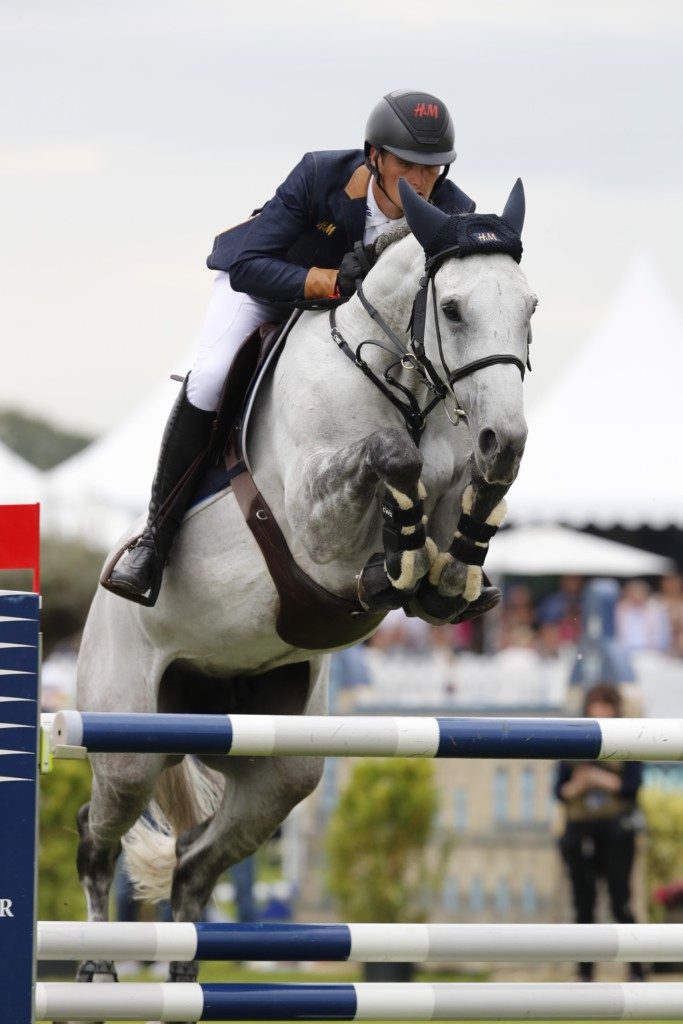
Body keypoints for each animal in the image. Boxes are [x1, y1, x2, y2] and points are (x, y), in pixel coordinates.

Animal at [73, 180, 532, 1019]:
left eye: (530, 307)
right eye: (451, 309)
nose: (504, 437)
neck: (399, 379)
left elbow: (466, 497)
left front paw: (451, 574)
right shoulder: (315, 522)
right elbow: (392, 459)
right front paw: (400, 560)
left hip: (279, 766)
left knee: (194, 861)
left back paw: (186, 984)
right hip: (128, 740)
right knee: (97, 834)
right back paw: (95, 973)